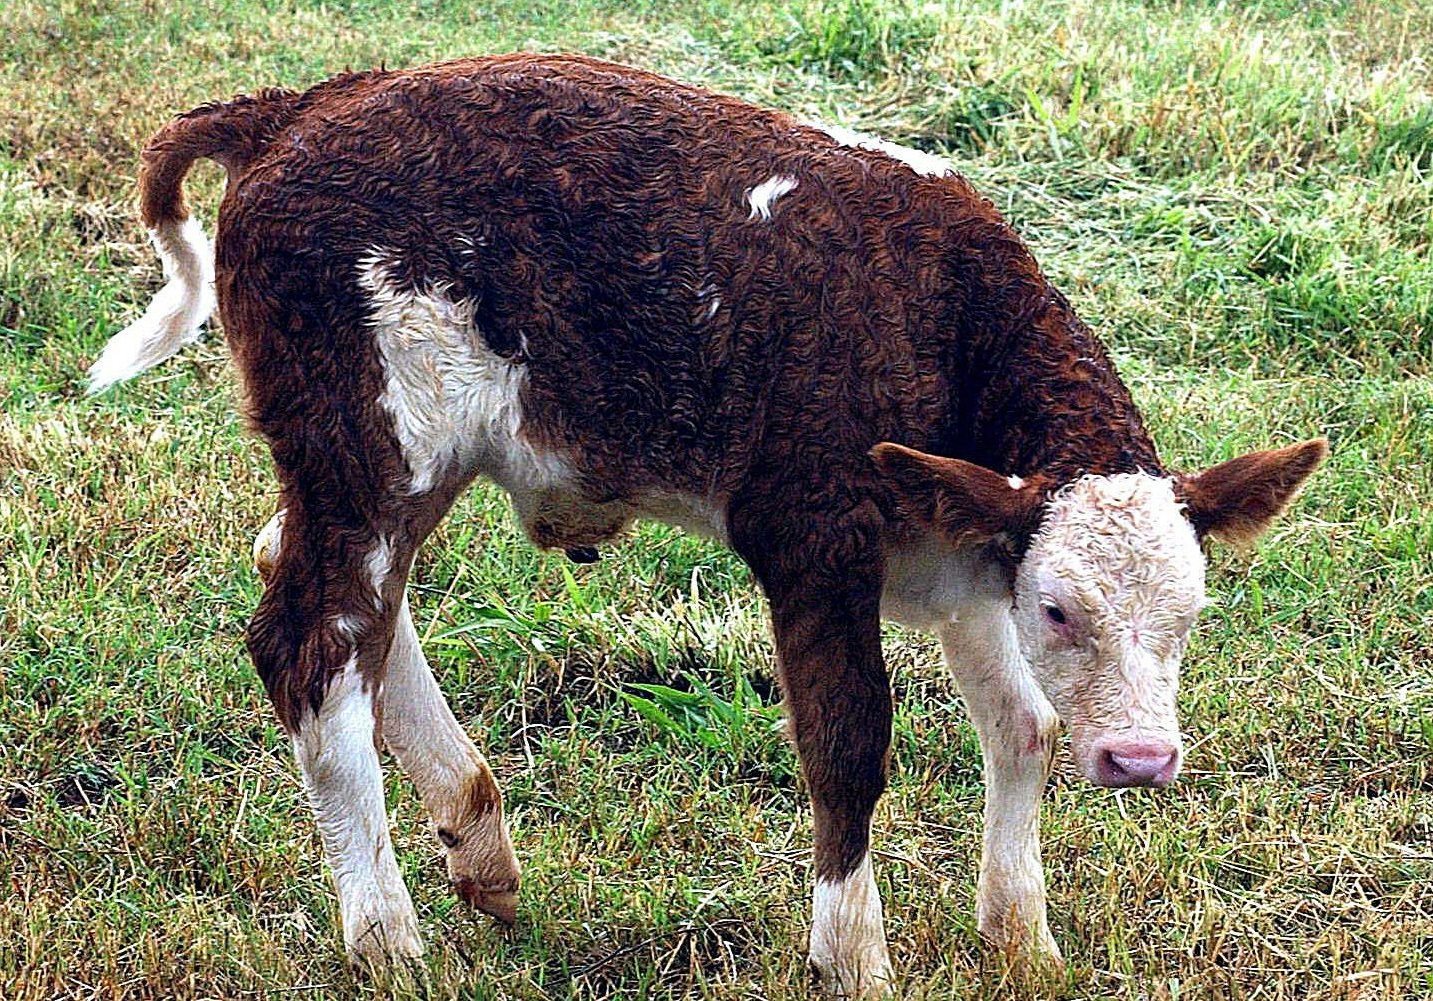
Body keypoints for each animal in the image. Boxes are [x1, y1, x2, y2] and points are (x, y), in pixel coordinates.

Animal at [90, 54, 1326, 996]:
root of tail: (300, 107)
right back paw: (387, 936)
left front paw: (1021, 941)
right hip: (370, 441)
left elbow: (1019, 727)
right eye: (1062, 608)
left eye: (1191, 613)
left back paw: (475, 836)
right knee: (311, 640)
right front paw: (852, 957)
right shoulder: (814, 539)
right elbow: (846, 742)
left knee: (326, 592)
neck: (932, 319)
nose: (1139, 756)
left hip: (381, 460)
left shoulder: (963, 544)